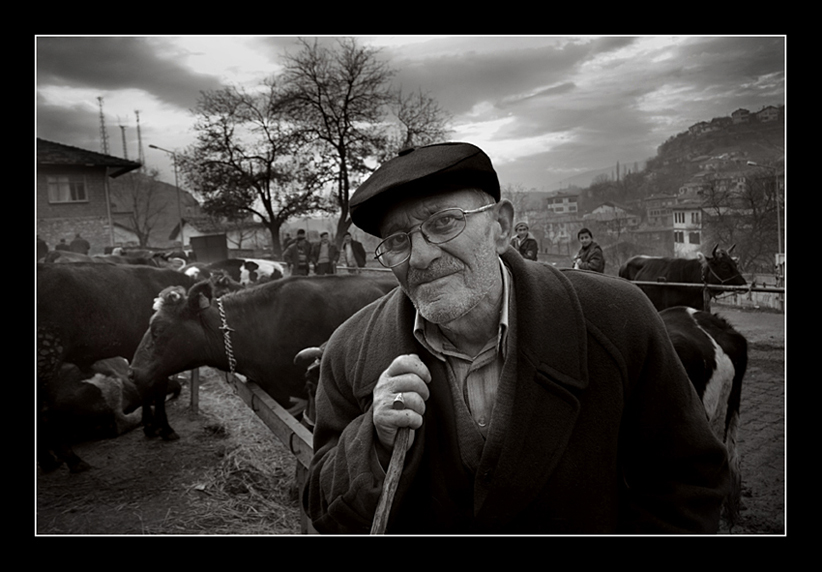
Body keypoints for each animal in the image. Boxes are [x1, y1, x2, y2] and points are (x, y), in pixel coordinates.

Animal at [36, 262, 196, 472]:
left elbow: (145, 390)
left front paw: (150, 427)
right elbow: (158, 392)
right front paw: (164, 429)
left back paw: (51, 461)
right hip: (47, 360)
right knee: (44, 416)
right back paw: (71, 460)